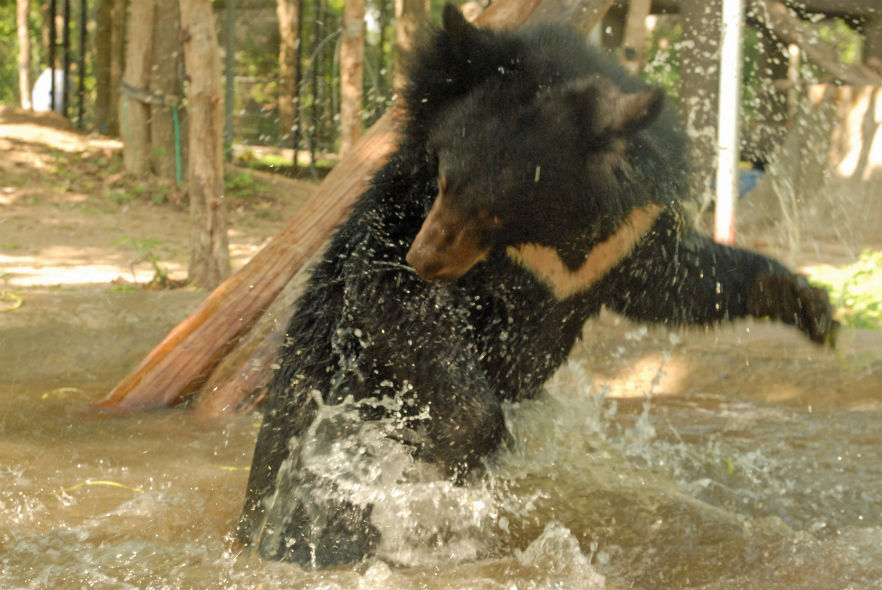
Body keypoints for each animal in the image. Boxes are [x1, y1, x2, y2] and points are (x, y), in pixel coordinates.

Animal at [235, 3, 832, 568]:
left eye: (494, 210)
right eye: (444, 177)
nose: (425, 260)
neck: (549, 235)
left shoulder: (629, 233)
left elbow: (675, 282)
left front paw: (810, 306)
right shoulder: (404, 206)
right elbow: (393, 299)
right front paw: (456, 450)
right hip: (331, 410)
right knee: (323, 485)